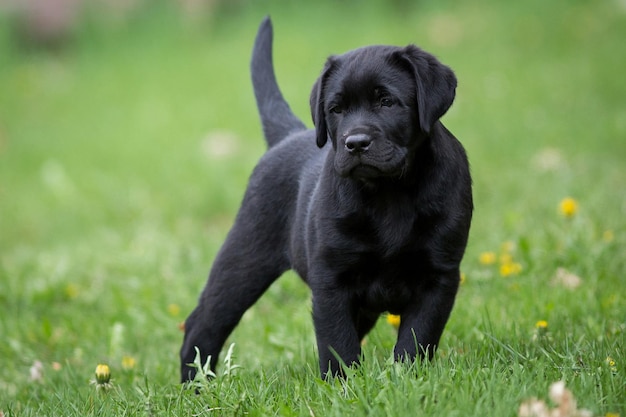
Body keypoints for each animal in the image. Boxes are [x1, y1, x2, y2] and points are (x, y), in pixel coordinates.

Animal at [178, 17, 470, 380]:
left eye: (387, 102)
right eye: (336, 109)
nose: (355, 143)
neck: (389, 193)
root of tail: (287, 136)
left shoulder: (438, 277)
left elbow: (416, 339)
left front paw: (406, 379)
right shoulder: (332, 280)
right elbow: (337, 344)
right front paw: (345, 385)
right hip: (242, 259)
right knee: (203, 324)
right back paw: (197, 386)